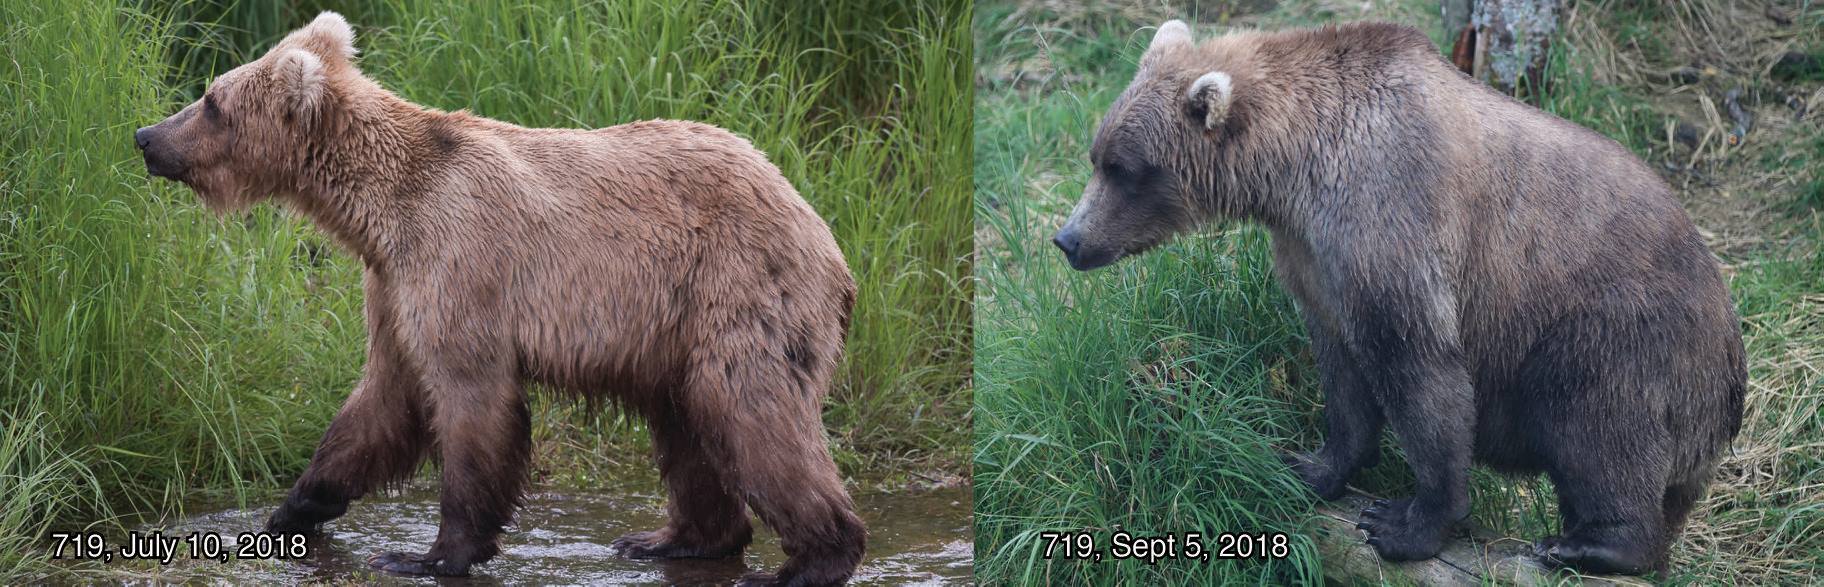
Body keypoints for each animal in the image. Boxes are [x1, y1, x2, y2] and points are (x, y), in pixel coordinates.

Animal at [134, 11, 860, 583]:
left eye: (211, 101)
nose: (146, 137)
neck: (375, 210)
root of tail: (818, 224)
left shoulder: (460, 260)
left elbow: (467, 400)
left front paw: (428, 554)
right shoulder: (392, 284)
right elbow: (380, 400)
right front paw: (286, 511)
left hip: (736, 284)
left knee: (746, 405)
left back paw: (809, 559)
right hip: (676, 325)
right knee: (685, 419)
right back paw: (670, 539)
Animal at [1065, 20, 1743, 576]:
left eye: (1124, 168)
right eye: (1098, 155)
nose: (1068, 238)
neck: (1295, 171)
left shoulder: (1394, 226)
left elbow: (1420, 371)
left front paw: (1403, 523)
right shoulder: (1316, 258)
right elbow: (1342, 369)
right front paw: (1312, 466)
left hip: (1621, 333)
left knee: (1601, 431)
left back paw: (1586, 544)